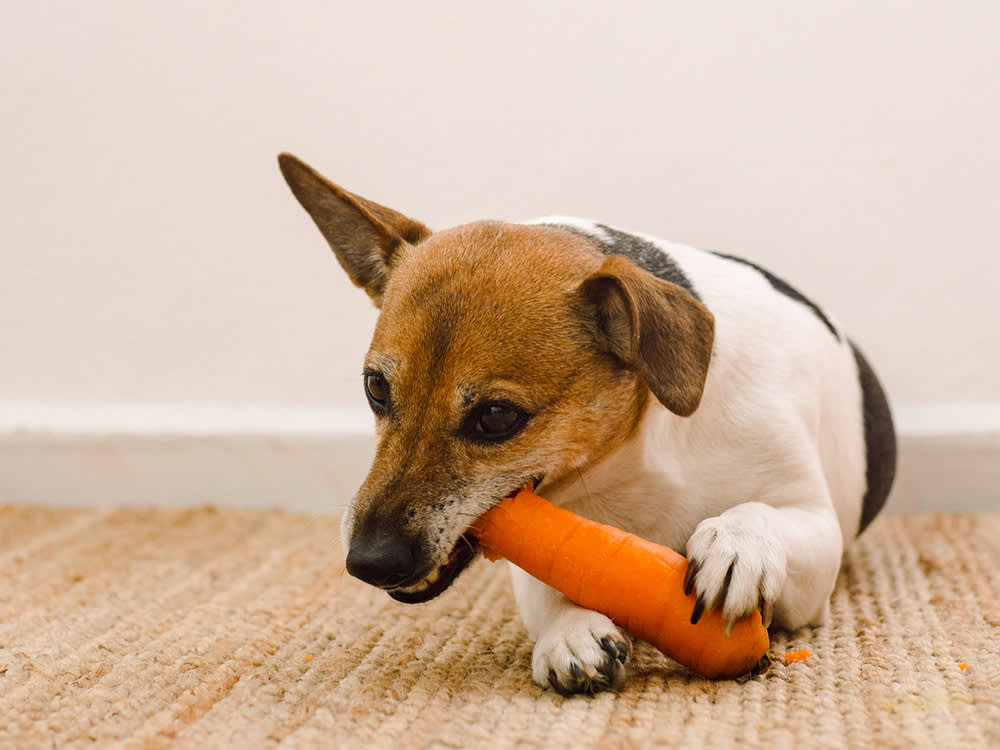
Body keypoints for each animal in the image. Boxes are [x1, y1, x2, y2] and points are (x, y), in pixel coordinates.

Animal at [278, 153, 896, 700]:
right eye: (375, 388)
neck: (634, 458)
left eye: (496, 417)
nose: (368, 562)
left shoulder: (814, 530)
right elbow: (560, 579)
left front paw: (738, 543)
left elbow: (761, 515)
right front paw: (571, 629)